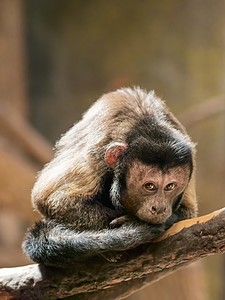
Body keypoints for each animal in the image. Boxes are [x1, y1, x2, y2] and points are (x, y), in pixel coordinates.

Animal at [22, 88, 198, 266]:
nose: (159, 208)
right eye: (150, 186)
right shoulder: (96, 154)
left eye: (170, 186)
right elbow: (49, 199)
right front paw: (131, 225)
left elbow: (188, 214)